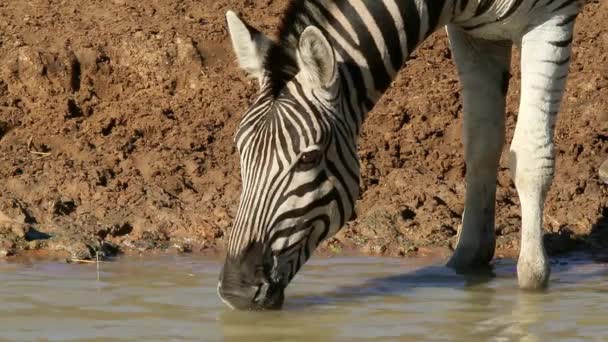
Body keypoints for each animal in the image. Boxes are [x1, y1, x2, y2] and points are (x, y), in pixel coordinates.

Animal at [217, 0, 580, 310]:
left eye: (308, 158)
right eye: (240, 151)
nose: (236, 290)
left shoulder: (551, 17)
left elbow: (530, 159)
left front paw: (533, 282)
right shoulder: (472, 35)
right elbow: (481, 145)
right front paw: (466, 263)